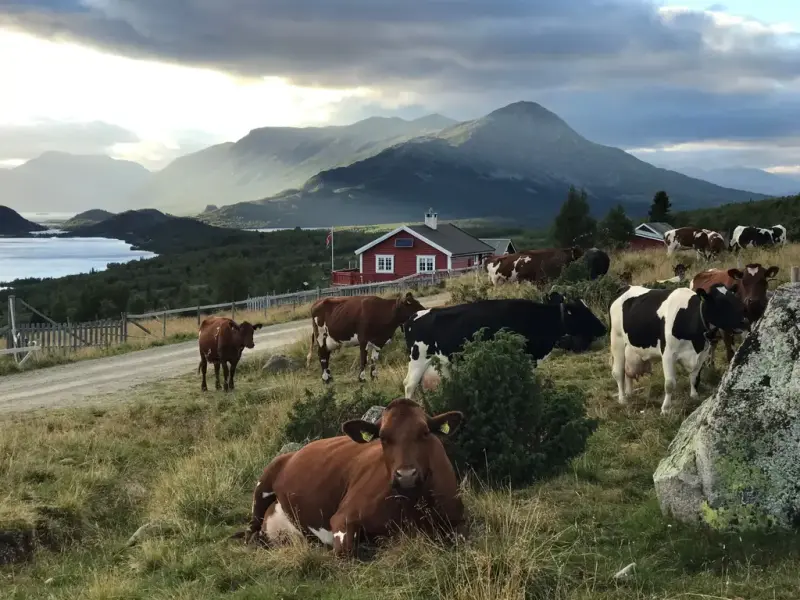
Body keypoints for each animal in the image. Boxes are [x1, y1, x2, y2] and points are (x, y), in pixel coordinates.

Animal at [241, 398, 466, 556]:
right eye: (382, 437)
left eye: (425, 432)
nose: (406, 476)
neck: (411, 506)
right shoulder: (343, 517)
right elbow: (347, 553)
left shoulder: (458, 520)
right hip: (263, 484)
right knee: (250, 532)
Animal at [608, 284, 748, 414]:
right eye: (721, 302)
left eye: (734, 297)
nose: (745, 321)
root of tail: (626, 287)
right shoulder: (668, 354)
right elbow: (670, 384)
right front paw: (665, 409)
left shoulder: (702, 353)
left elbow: (694, 377)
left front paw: (694, 396)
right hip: (616, 338)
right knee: (618, 372)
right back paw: (622, 399)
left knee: (628, 372)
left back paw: (629, 393)